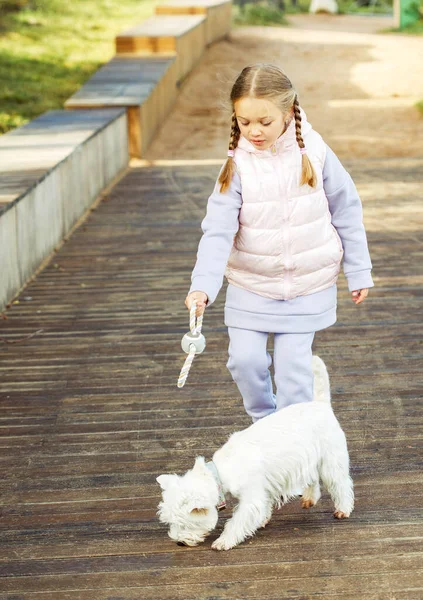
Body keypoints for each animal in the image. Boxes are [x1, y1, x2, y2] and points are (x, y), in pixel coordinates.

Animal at [157, 358, 354, 552]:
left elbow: (237, 521)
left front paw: (223, 541)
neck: (220, 472)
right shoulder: (263, 491)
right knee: (312, 479)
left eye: (184, 523)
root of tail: (320, 404)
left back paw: (343, 510)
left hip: (331, 461)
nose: (179, 542)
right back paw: (309, 499)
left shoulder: (252, 498)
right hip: (307, 460)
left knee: (341, 484)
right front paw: (262, 520)